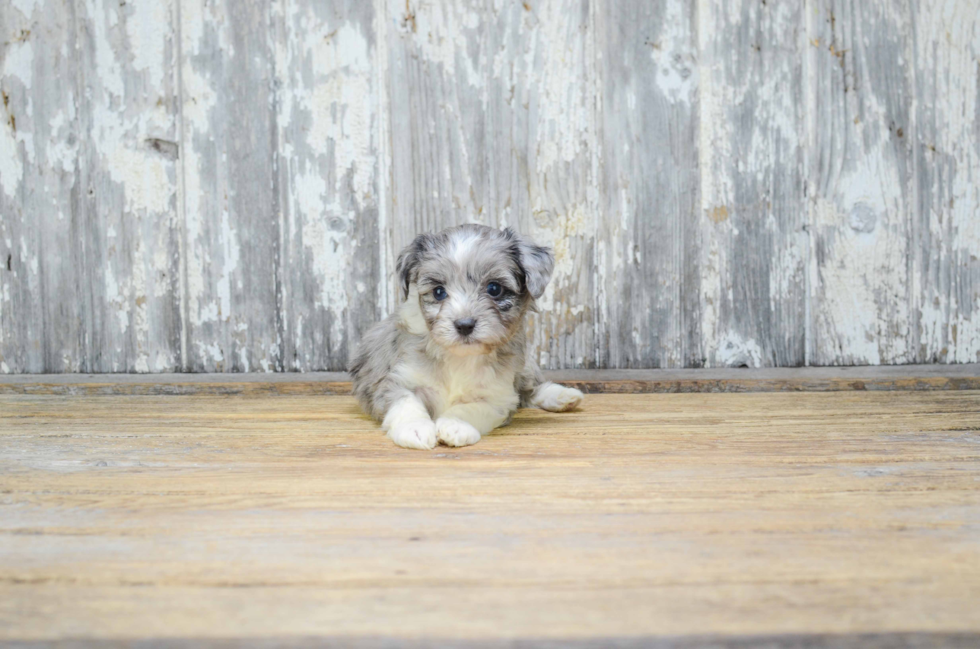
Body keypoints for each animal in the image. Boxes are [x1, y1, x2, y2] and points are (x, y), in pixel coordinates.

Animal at [350, 225, 580, 448]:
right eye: (438, 292)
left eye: (494, 288)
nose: (464, 325)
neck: (459, 356)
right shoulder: (395, 379)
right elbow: (405, 400)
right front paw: (414, 428)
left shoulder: (498, 396)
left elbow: (471, 407)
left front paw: (455, 425)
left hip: (525, 368)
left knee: (530, 388)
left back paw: (563, 396)